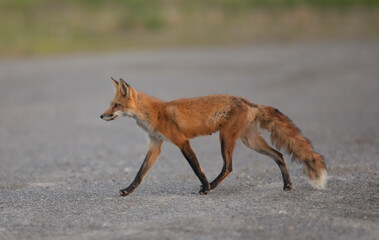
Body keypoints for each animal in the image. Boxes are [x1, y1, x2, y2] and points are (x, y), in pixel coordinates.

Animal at [101, 78, 326, 196]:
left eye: (116, 105)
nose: (101, 116)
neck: (154, 114)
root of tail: (248, 101)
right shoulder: (155, 145)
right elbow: (140, 173)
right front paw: (128, 190)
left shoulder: (181, 141)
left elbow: (196, 168)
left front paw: (206, 186)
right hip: (250, 141)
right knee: (279, 155)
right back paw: (287, 185)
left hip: (225, 138)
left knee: (228, 167)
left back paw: (211, 185)